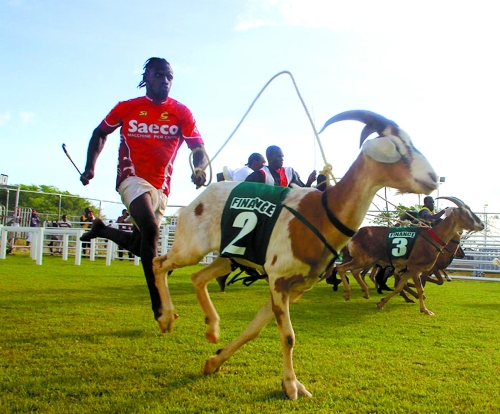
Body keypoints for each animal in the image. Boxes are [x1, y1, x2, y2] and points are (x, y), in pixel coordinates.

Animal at [151, 111, 438, 402]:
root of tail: (197, 199)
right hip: (191, 247)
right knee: (159, 263)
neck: (321, 213)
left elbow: (255, 329)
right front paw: (291, 386)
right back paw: (166, 319)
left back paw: (212, 329)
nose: (434, 178)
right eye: (398, 147)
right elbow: (288, 337)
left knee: (198, 277)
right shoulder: (278, 280)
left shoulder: (295, 287)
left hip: (226, 258)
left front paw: (213, 362)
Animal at [336, 197, 484, 314]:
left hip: (367, 261)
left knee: (354, 272)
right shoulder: (415, 268)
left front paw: (381, 303)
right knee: (341, 268)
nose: (481, 224)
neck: (432, 237)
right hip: (363, 259)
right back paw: (348, 294)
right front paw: (425, 310)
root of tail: (355, 236)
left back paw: (365, 292)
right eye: (467, 213)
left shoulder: (408, 270)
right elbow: (420, 288)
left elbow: (399, 287)